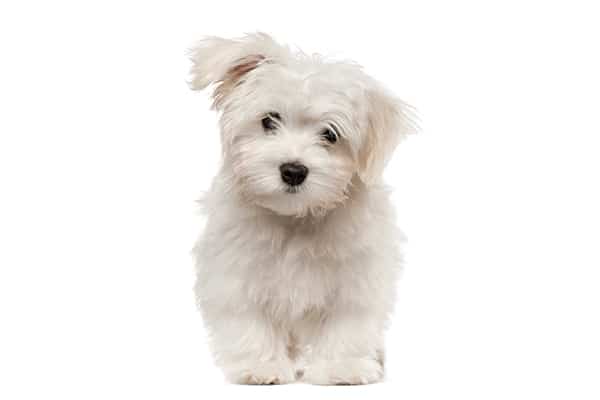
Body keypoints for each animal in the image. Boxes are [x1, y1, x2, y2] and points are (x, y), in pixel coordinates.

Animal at [190, 33, 414, 384]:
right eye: (269, 120)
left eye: (330, 134)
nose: (293, 170)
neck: (295, 217)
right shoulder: (236, 270)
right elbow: (249, 321)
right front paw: (261, 366)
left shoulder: (357, 276)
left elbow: (347, 324)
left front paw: (341, 366)